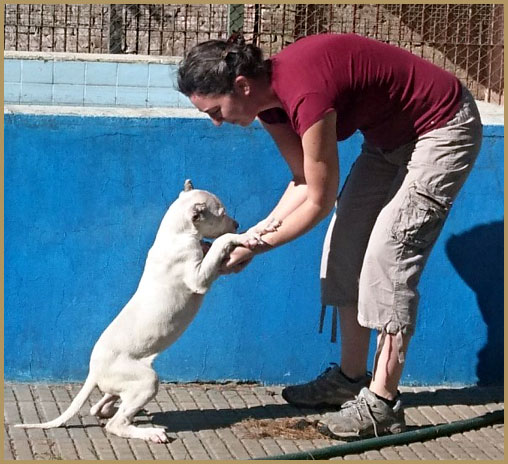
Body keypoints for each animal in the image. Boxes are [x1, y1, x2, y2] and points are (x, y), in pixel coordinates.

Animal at [15, 180, 280, 442]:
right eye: (222, 214)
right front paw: (242, 236)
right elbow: (221, 242)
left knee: (101, 406)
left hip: (131, 381)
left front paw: (263, 227)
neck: (176, 233)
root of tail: (93, 371)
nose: (237, 223)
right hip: (146, 380)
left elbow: (213, 244)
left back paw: (117, 409)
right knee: (115, 423)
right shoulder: (198, 278)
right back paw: (151, 433)